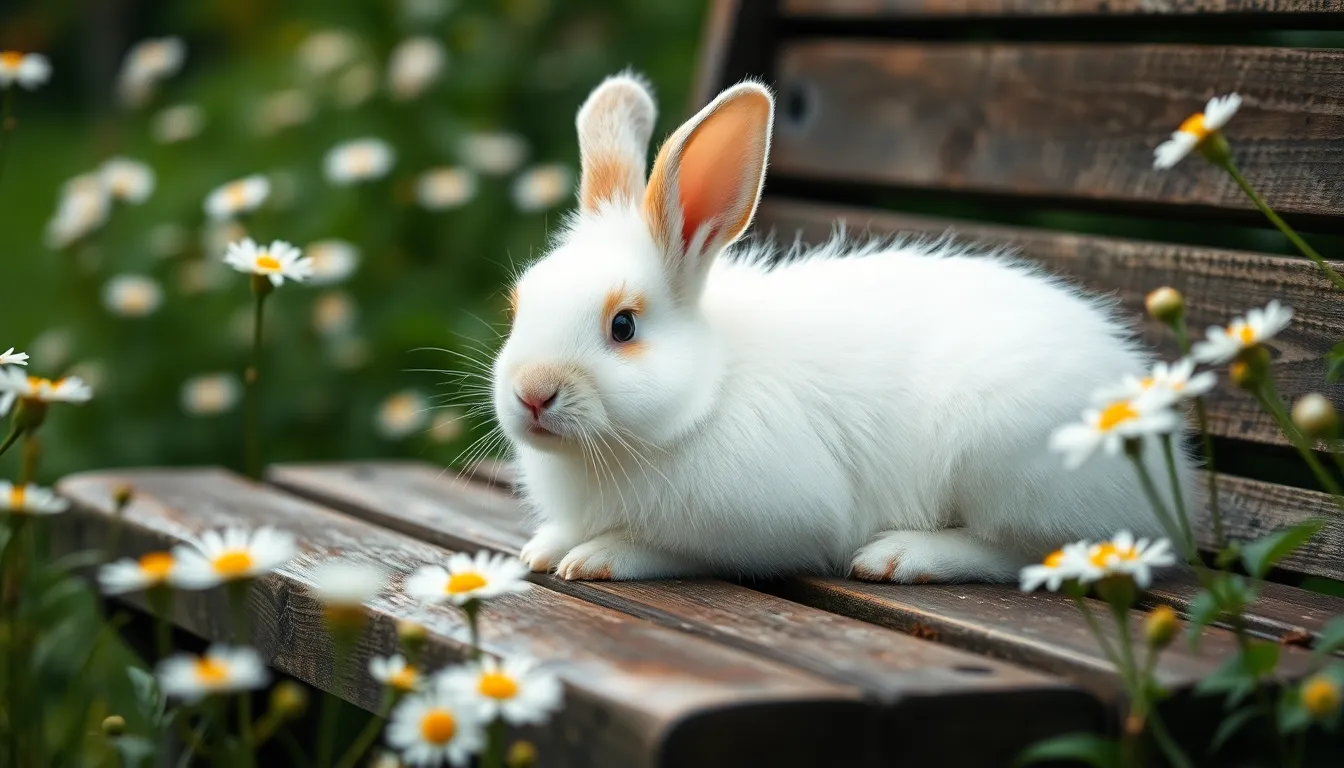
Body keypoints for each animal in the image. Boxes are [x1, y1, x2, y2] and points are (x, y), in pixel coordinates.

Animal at [489, 71, 1189, 583]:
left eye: (624, 326)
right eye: (518, 307)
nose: (533, 393)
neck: (706, 393)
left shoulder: (771, 523)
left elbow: (679, 550)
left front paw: (599, 556)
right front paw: (544, 548)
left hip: (1006, 462)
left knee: (1037, 552)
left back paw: (900, 557)